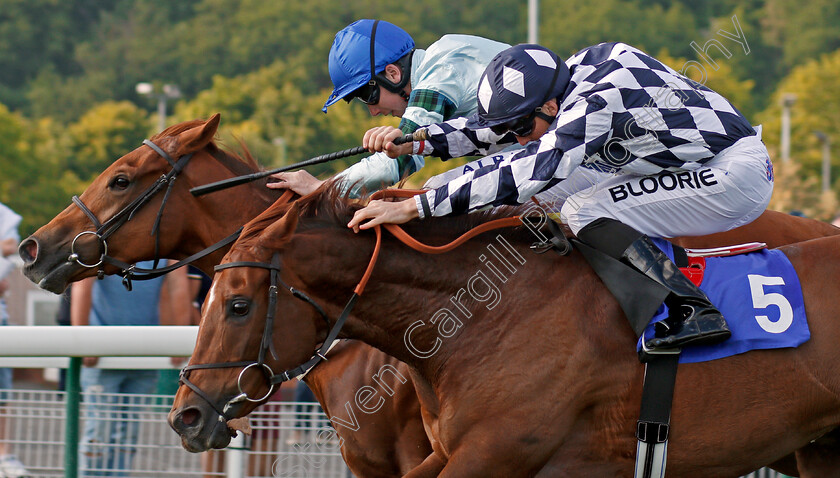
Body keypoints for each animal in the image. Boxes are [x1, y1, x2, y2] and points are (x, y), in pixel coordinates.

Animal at [171, 189, 840, 476]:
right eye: (205, 298)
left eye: (236, 305)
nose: (185, 416)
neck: (485, 314)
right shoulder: (448, 452)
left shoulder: (498, 452)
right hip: (820, 450)